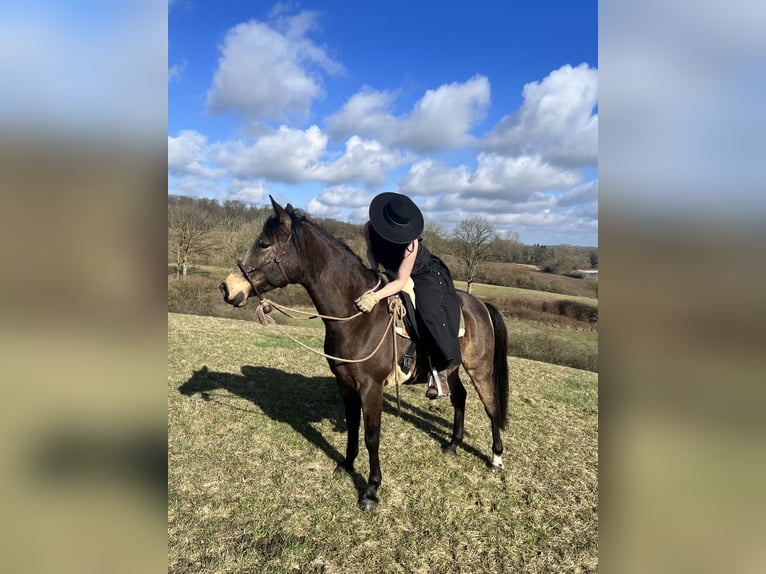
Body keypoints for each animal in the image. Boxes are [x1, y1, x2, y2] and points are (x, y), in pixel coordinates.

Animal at [220, 197, 509, 511]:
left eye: (263, 244)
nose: (227, 288)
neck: (358, 318)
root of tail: (480, 305)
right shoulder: (345, 383)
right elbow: (352, 426)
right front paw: (346, 464)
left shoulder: (371, 387)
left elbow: (372, 436)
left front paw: (371, 490)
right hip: (452, 368)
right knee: (460, 398)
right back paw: (453, 445)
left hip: (480, 369)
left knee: (491, 407)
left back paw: (496, 459)